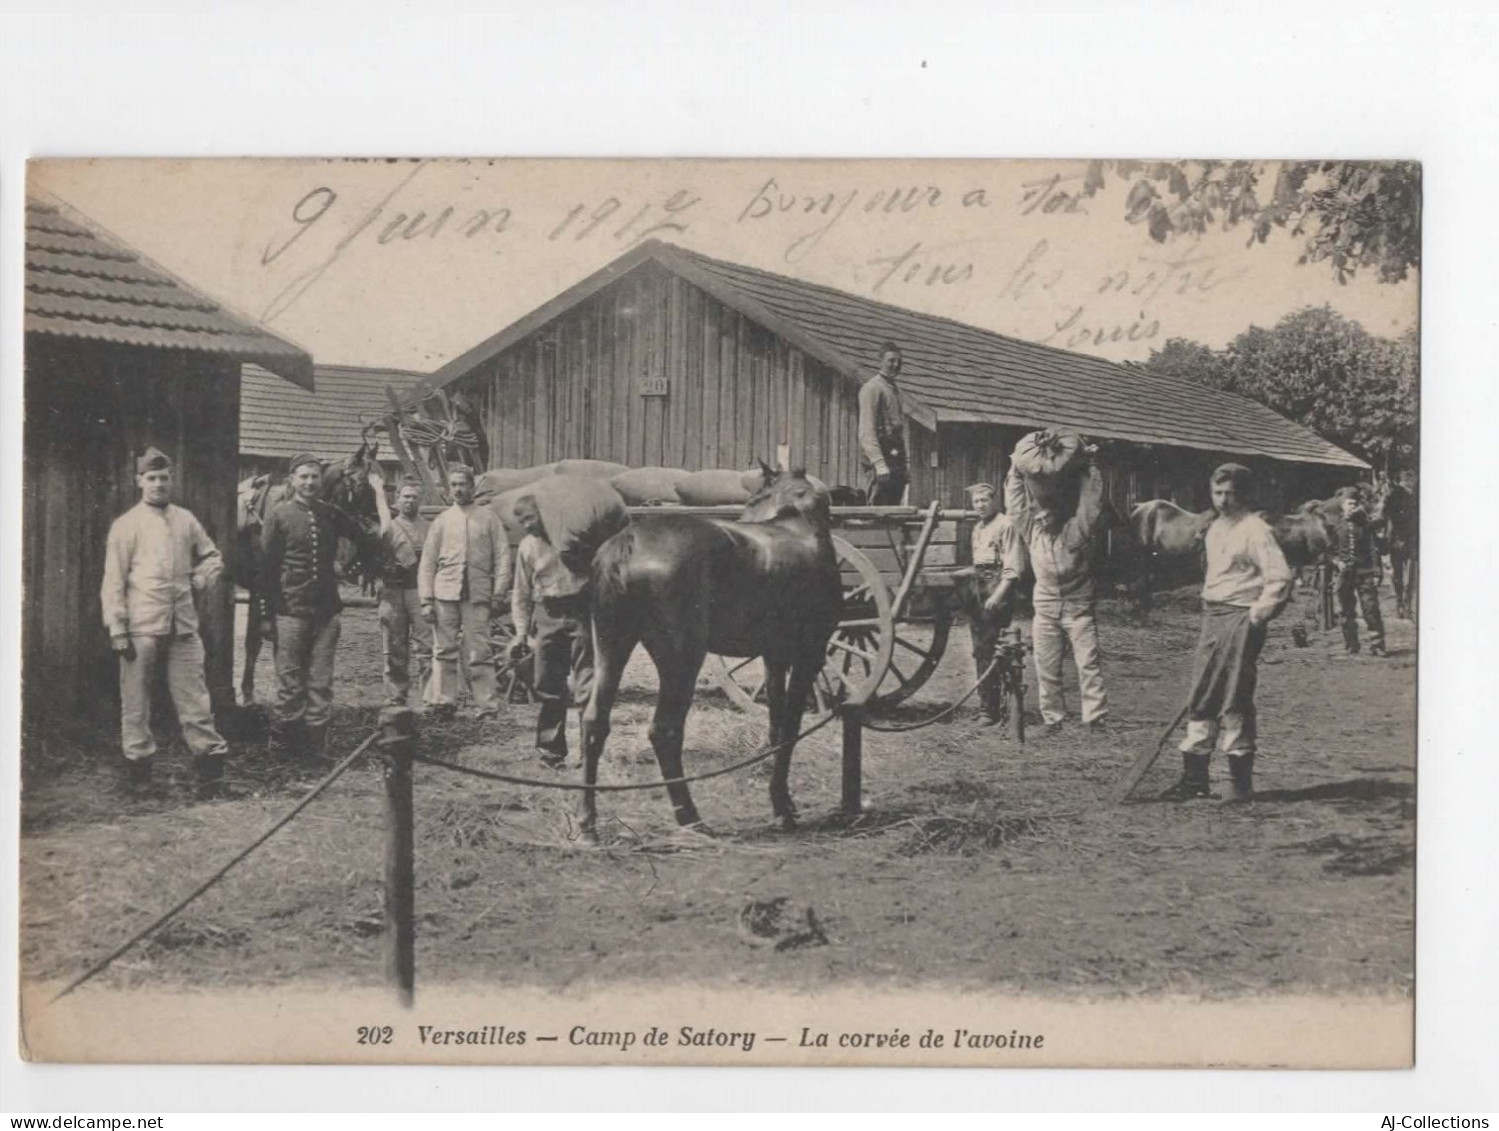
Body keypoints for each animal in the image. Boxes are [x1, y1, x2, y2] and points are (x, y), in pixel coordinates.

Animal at [575, 467, 839, 832]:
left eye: (755, 498)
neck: (799, 524)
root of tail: (628, 542)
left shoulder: (774, 658)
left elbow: (775, 726)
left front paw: (782, 802)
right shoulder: (807, 655)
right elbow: (789, 730)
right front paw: (782, 808)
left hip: (611, 647)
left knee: (594, 722)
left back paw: (586, 819)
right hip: (683, 658)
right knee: (664, 731)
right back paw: (689, 815)